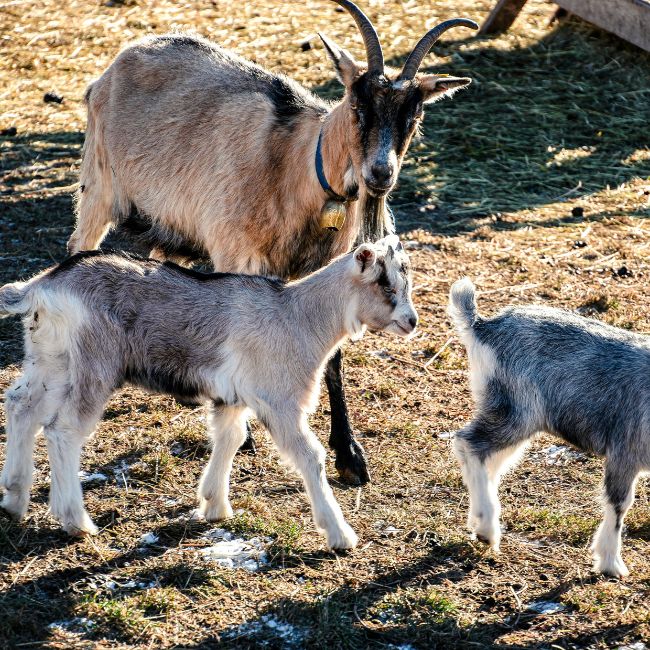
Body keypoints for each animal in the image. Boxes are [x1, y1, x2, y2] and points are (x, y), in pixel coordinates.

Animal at [0, 236, 416, 549]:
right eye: (386, 285)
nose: (411, 321)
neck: (298, 316)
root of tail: (43, 287)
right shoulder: (279, 400)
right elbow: (310, 457)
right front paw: (341, 535)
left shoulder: (233, 398)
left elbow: (230, 437)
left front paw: (215, 505)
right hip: (92, 365)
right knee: (64, 429)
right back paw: (75, 520)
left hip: (51, 361)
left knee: (20, 406)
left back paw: (14, 498)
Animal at [68, 0, 477, 485]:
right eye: (357, 103)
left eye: (413, 116)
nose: (381, 174)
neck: (294, 165)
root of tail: (120, 61)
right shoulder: (235, 253)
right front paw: (243, 435)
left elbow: (333, 355)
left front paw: (349, 455)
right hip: (99, 185)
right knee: (79, 245)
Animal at [449, 278, 649, 578]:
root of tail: (483, 325)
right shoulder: (625, 450)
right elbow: (619, 504)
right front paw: (611, 563)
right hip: (517, 412)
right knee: (468, 443)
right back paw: (487, 528)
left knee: (488, 461)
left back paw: (479, 521)